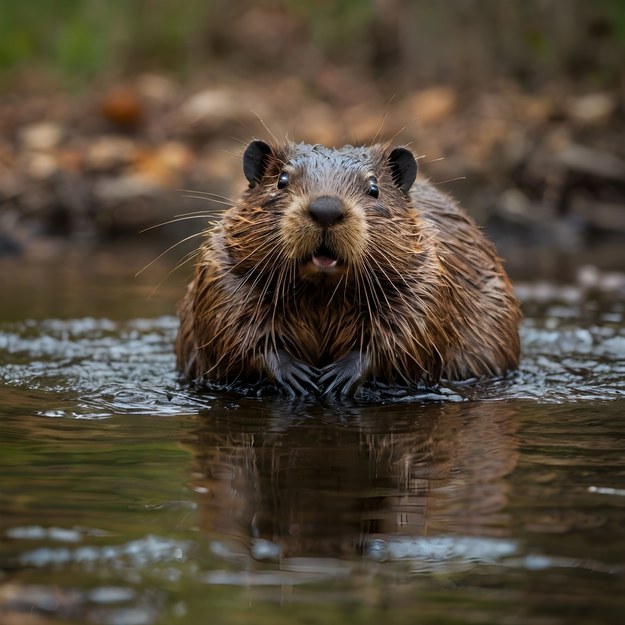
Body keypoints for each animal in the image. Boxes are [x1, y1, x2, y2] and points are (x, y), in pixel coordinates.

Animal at [173, 140, 520, 398]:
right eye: (282, 180)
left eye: (374, 187)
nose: (326, 209)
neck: (321, 294)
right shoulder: (221, 270)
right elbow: (230, 328)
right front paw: (297, 375)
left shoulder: (428, 275)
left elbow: (410, 331)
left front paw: (337, 376)